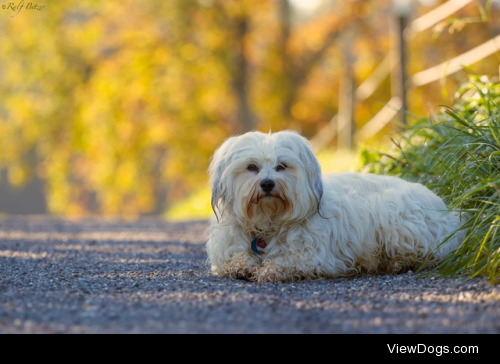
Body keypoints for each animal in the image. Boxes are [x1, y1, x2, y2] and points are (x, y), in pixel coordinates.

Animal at [207, 129, 464, 282]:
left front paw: (271, 269)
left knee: (431, 254)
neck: (269, 221)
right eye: (252, 167)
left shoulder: (316, 257)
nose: (268, 183)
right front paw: (240, 266)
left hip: (392, 214)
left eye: (282, 166)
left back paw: (399, 263)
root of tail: (450, 214)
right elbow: (233, 260)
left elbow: (289, 261)